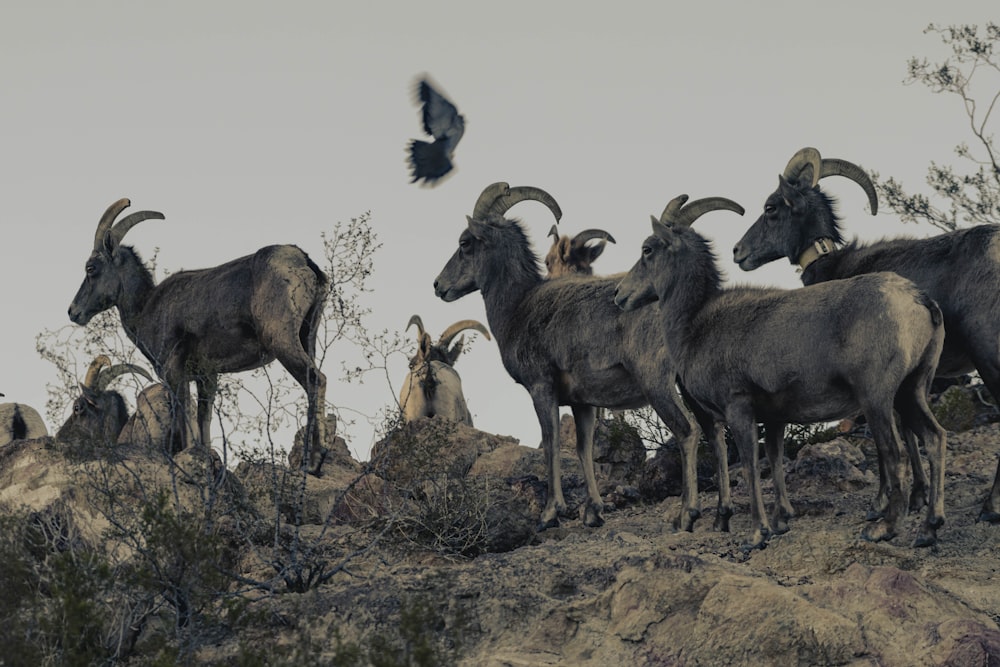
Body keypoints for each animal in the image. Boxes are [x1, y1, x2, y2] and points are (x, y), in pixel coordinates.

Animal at [67, 198, 332, 460]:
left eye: (91, 268)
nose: (73, 311)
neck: (146, 308)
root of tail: (302, 262)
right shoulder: (206, 377)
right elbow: (204, 421)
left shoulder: (173, 373)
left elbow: (183, 418)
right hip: (308, 336)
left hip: (282, 341)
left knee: (315, 379)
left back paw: (315, 453)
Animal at [432, 181, 736, 532]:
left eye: (465, 243)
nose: (438, 285)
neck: (518, 306)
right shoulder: (584, 404)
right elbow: (583, 449)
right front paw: (593, 512)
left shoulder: (542, 388)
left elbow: (551, 443)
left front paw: (550, 513)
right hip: (689, 387)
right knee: (715, 433)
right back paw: (722, 515)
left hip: (657, 385)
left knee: (688, 432)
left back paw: (687, 514)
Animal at [612, 196, 948, 552]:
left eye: (648, 249)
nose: (619, 294)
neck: (695, 324)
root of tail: (918, 300)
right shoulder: (773, 418)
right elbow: (773, 463)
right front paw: (780, 523)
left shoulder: (739, 409)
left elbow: (749, 467)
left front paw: (757, 534)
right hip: (912, 391)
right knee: (935, 438)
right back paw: (929, 529)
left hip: (877, 400)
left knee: (897, 454)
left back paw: (884, 528)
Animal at [728, 149, 1000, 524]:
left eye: (771, 207)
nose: (738, 252)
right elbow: (908, 433)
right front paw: (917, 496)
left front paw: (880, 506)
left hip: (988, 356)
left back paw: (990, 509)